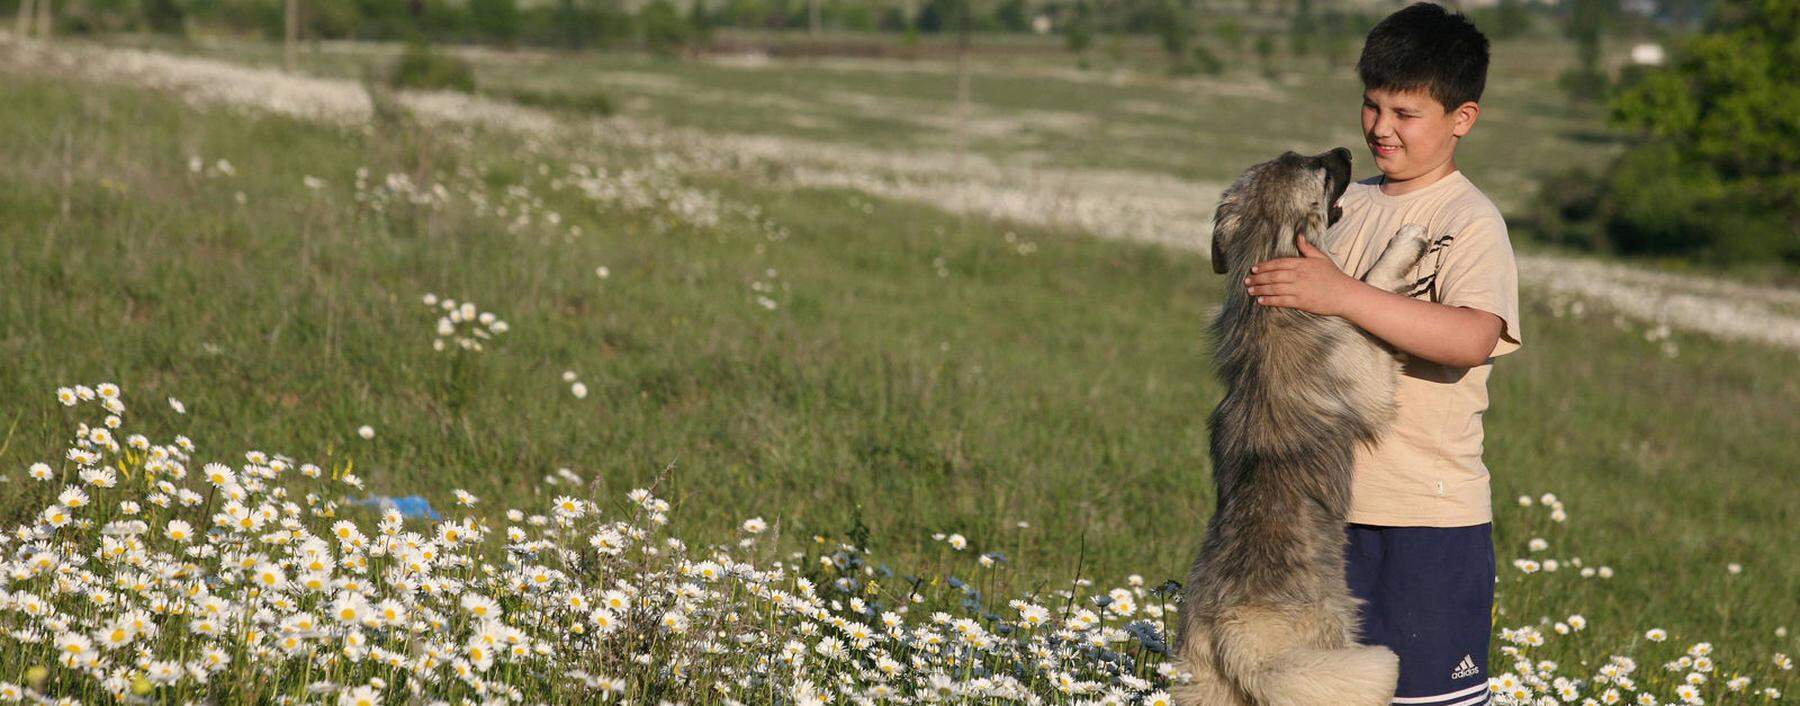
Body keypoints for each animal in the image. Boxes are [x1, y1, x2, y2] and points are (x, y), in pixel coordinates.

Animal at [1173, 148, 1425, 706]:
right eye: (1313, 166)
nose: (1346, 151)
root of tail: (1232, 635)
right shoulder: (1365, 371)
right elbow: (1369, 286)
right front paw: (1405, 245)